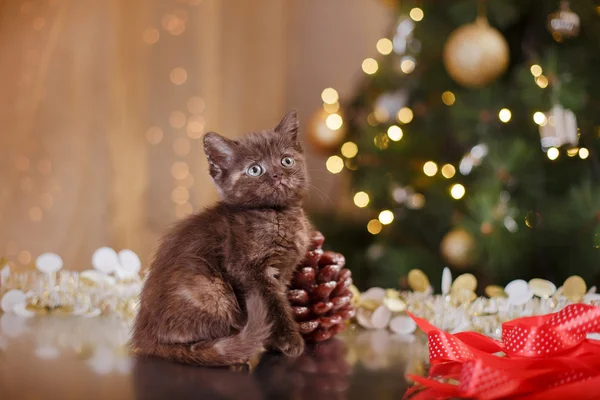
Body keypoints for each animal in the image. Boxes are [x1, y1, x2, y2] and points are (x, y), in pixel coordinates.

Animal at [129, 110, 312, 366]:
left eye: (286, 160)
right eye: (255, 169)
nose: (277, 174)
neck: (278, 215)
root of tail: (143, 338)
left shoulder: (284, 272)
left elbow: (281, 301)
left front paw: (274, 343)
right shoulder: (248, 270)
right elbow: (275, 306)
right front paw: (289, 341)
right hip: (209, 287)